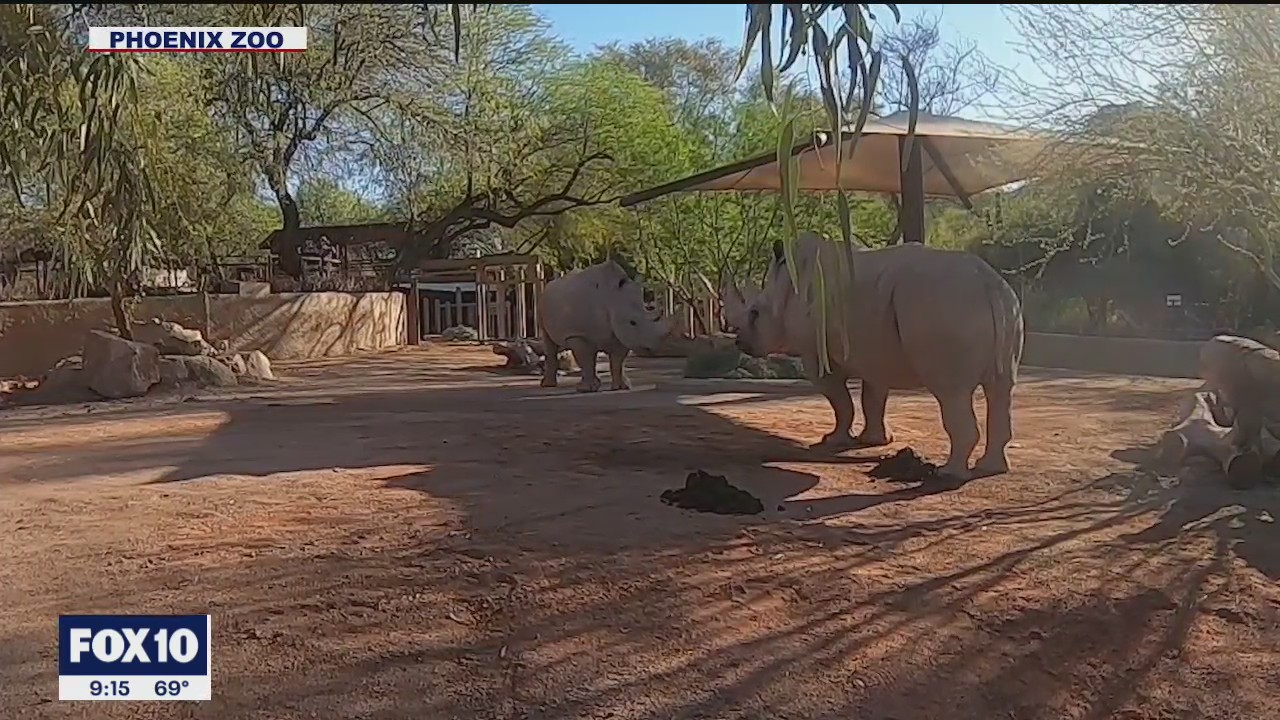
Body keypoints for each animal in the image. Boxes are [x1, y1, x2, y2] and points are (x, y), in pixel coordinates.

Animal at [537, 259, 678, 392]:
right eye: (632, 322)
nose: (654, 348)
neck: (612, 299)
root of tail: (549, 284)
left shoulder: (619, 333)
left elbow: (618, 361)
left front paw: (622, 387)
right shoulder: (578, 334)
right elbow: (586, 359)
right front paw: (587, 389)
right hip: (543, 303)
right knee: (549, 343)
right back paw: (548, 385)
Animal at [721, 231, 1024, 481]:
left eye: (754, 313)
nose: (740, 342)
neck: (786, 285)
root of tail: (988, 282)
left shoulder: (816, 351)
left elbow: (839, 400)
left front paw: (832, 440)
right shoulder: (874, 349)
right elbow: (873, 397)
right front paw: (876, 440)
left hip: (947, 306)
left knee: (951, 392)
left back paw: (947, 473)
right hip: (1002, 307)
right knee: (1001, 387)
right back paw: (990, 468)